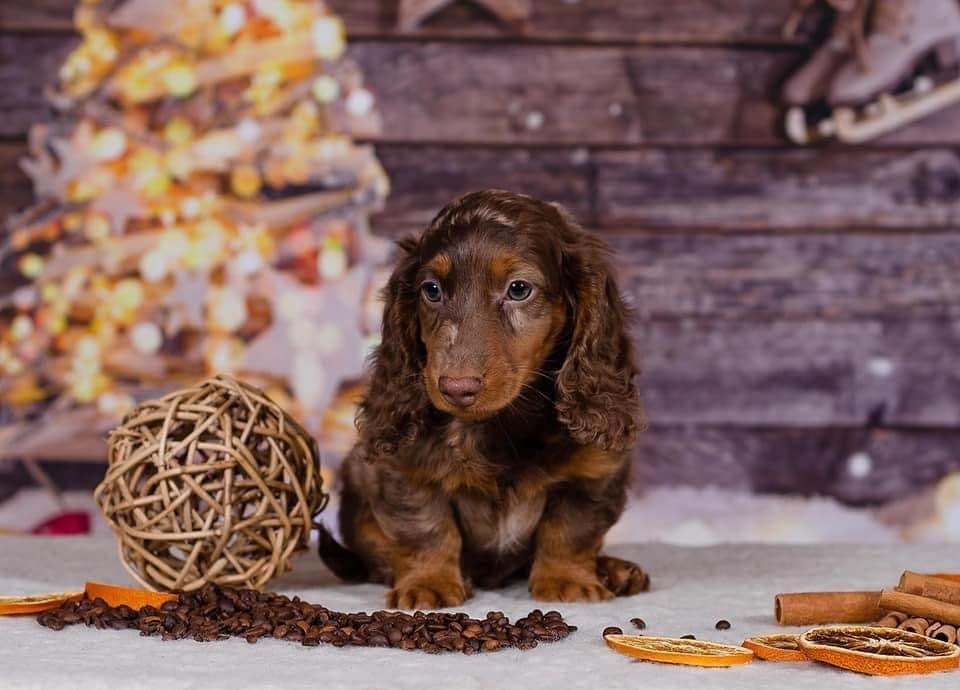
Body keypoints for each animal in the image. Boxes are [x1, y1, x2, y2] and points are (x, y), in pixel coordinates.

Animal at [318, 188, 648, 608]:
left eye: (519, 289)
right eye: (432, 290)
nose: (456, 388)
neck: (502, 422)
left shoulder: (596, 470)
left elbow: (571, 528)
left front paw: (568, 580)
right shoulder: (404, 469)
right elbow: (427, 527)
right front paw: (428, 582)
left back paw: (614, 569)